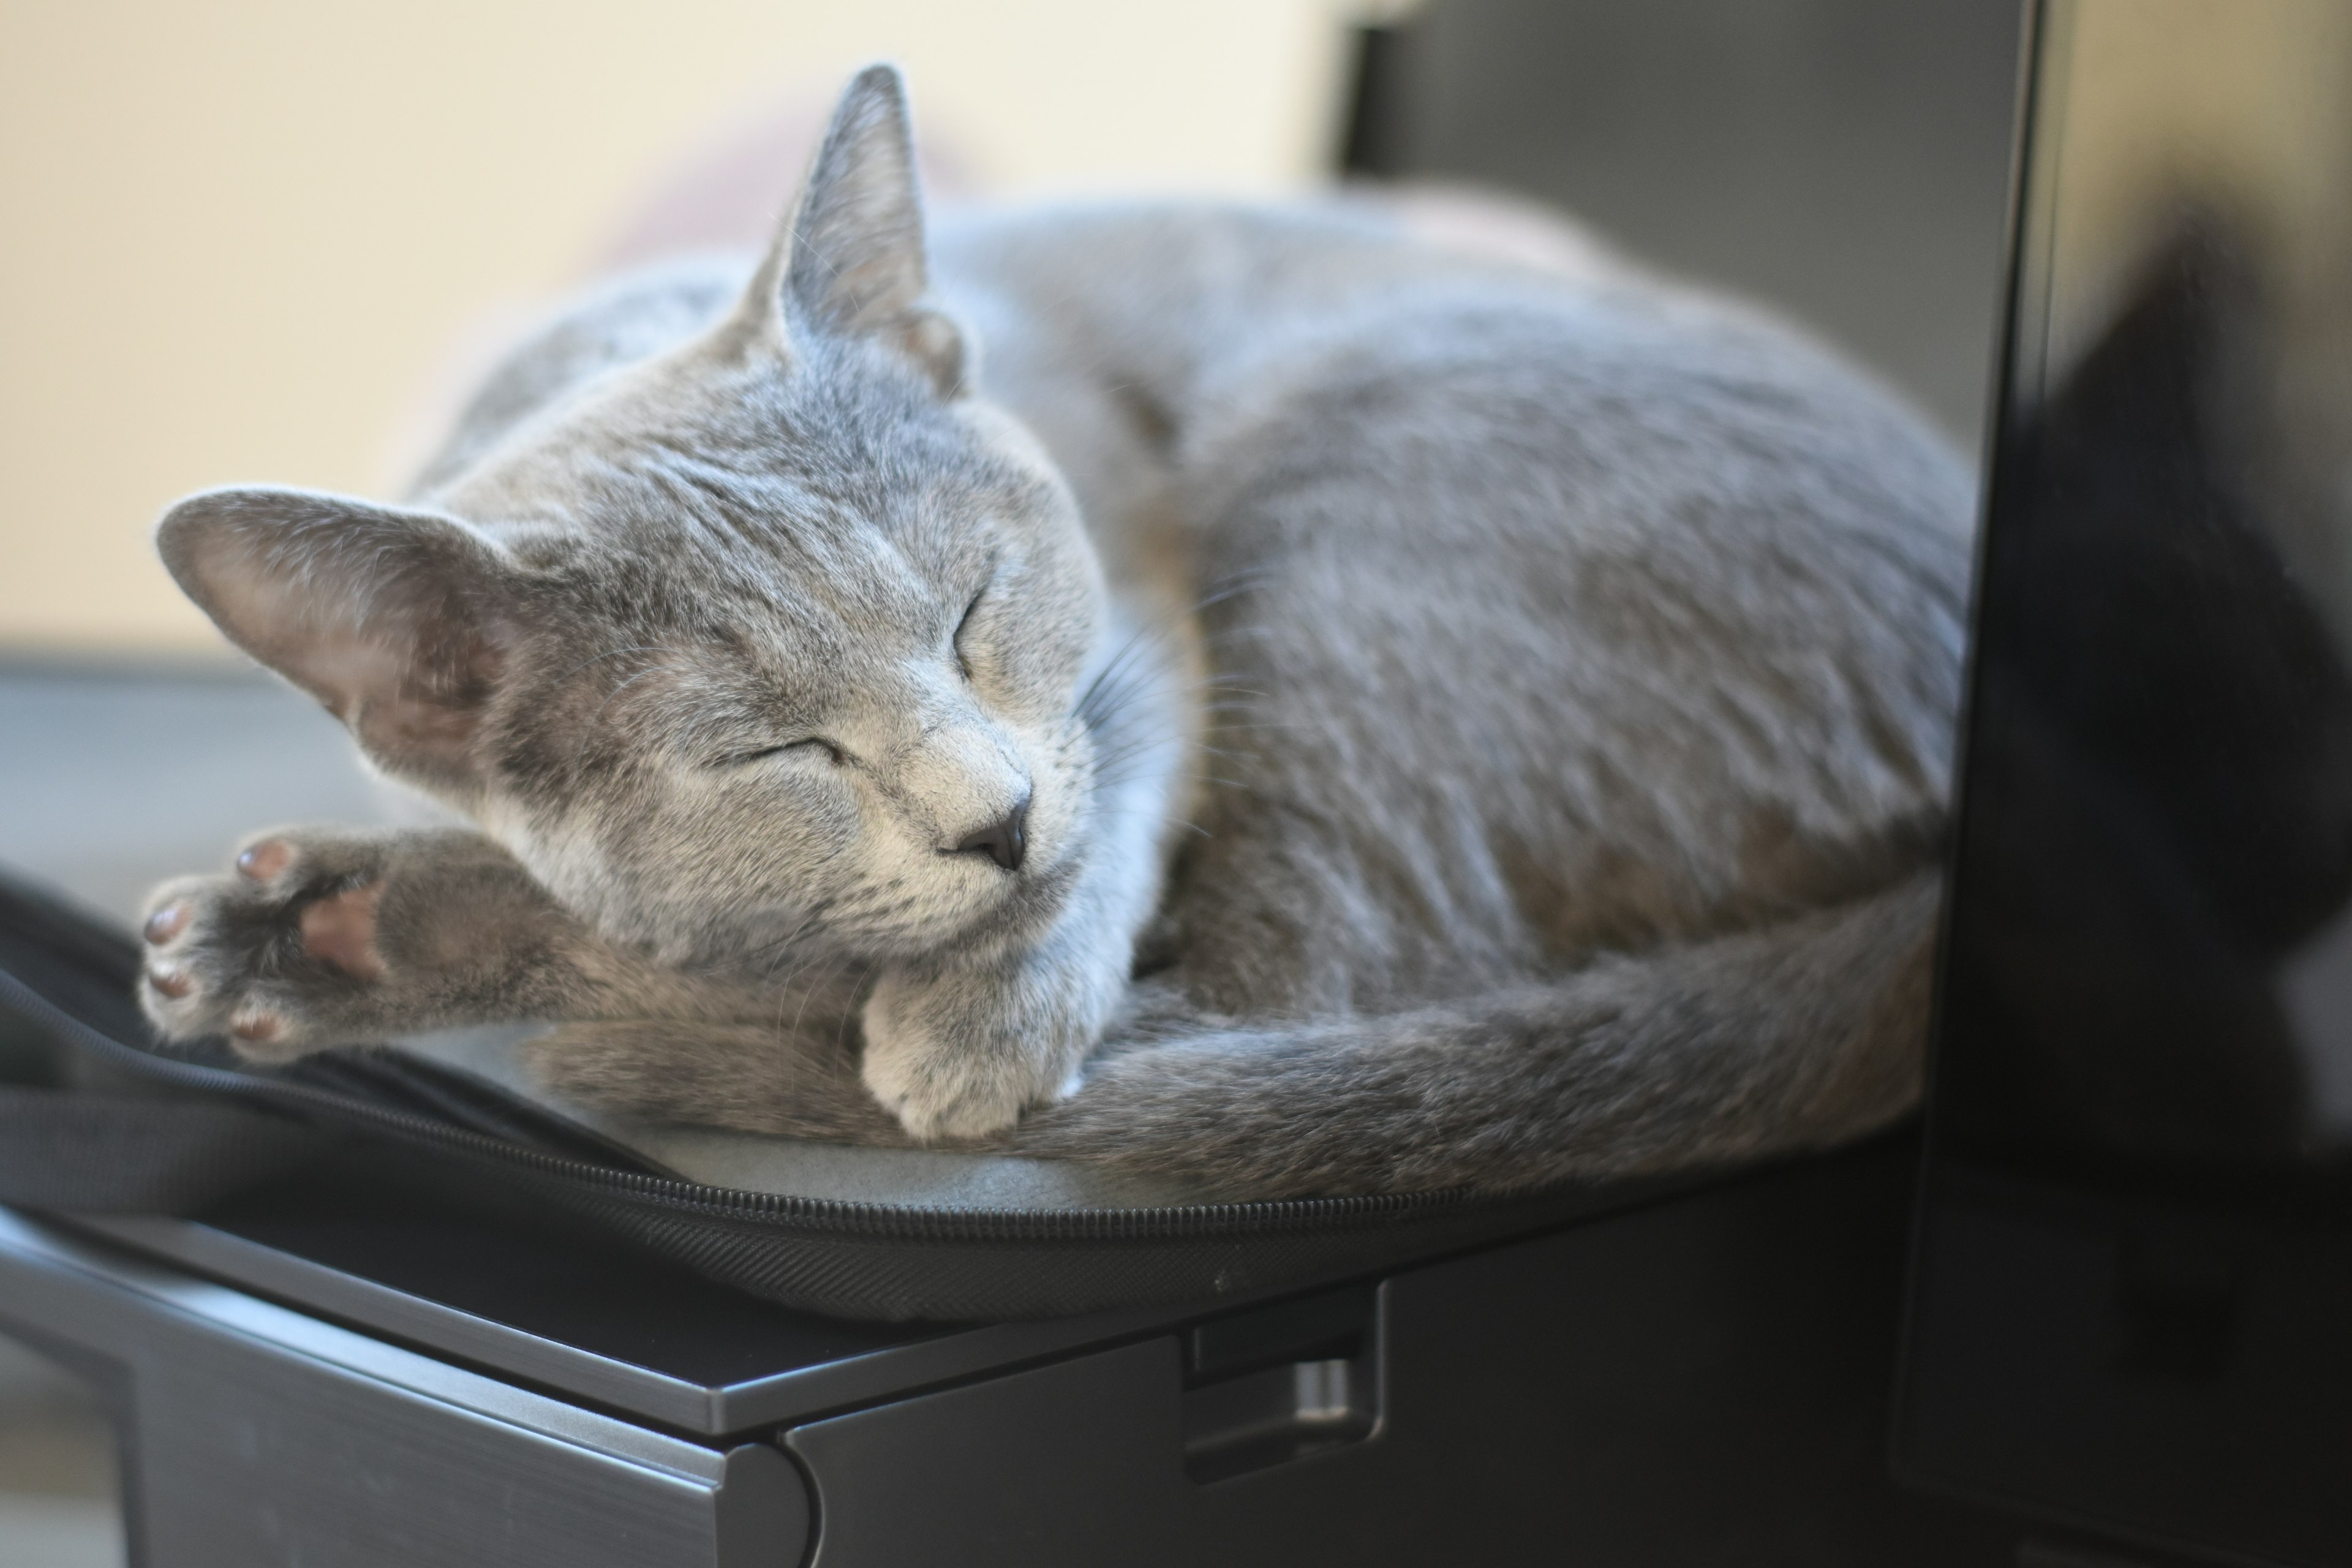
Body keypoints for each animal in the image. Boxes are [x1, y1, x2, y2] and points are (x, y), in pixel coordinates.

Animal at [124, 67, 1966, 1204]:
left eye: (971, 610)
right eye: (774, 749)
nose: (991, 820)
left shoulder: (1141, 629)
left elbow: (1110, 797)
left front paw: (981, 1007)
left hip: (1366, 461)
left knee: (1283, 985)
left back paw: (369, 937)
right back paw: (319, 935)